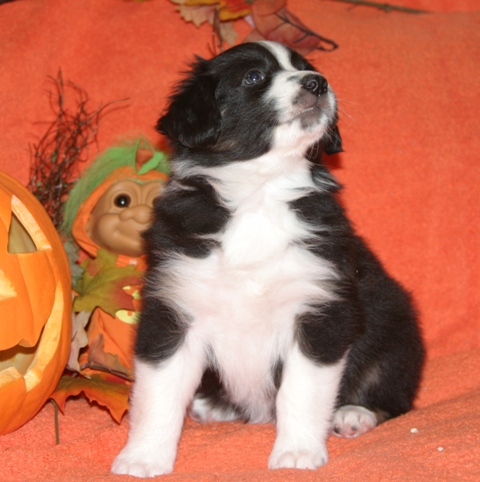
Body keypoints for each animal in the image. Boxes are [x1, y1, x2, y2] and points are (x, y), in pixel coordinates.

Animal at [111, 41, 424, 477]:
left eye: (307, 67)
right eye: (253, 77)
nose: (318, 82)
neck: (259, 192)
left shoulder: (319, 310)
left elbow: (301, 392)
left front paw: (297, 454)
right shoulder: (173, 308)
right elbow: (158, 392)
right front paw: (142, 458)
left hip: (396, 330)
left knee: (395, 395)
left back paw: (354, 414)